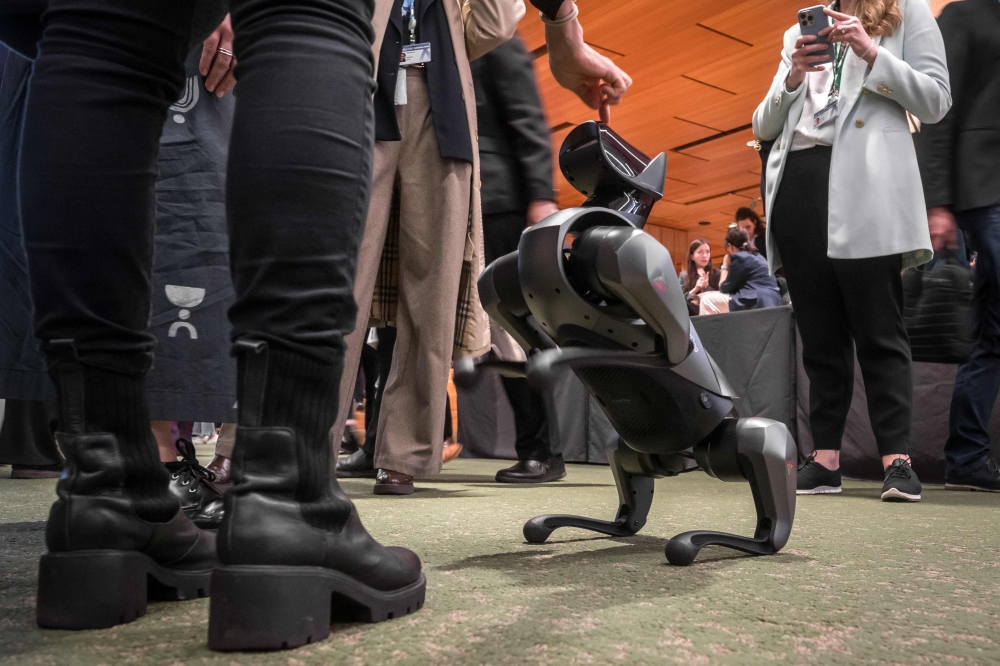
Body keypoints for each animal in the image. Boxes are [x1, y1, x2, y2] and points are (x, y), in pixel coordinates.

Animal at [458, 122, 796, 564]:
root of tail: (678, 458)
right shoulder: (506, 278)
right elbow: (499, 296)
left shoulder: (618, 249)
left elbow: (670, 340)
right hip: (637, 448)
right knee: (626, 476)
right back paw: (619, 525)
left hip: (724, 441)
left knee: (765, 442)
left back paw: (754, 540)